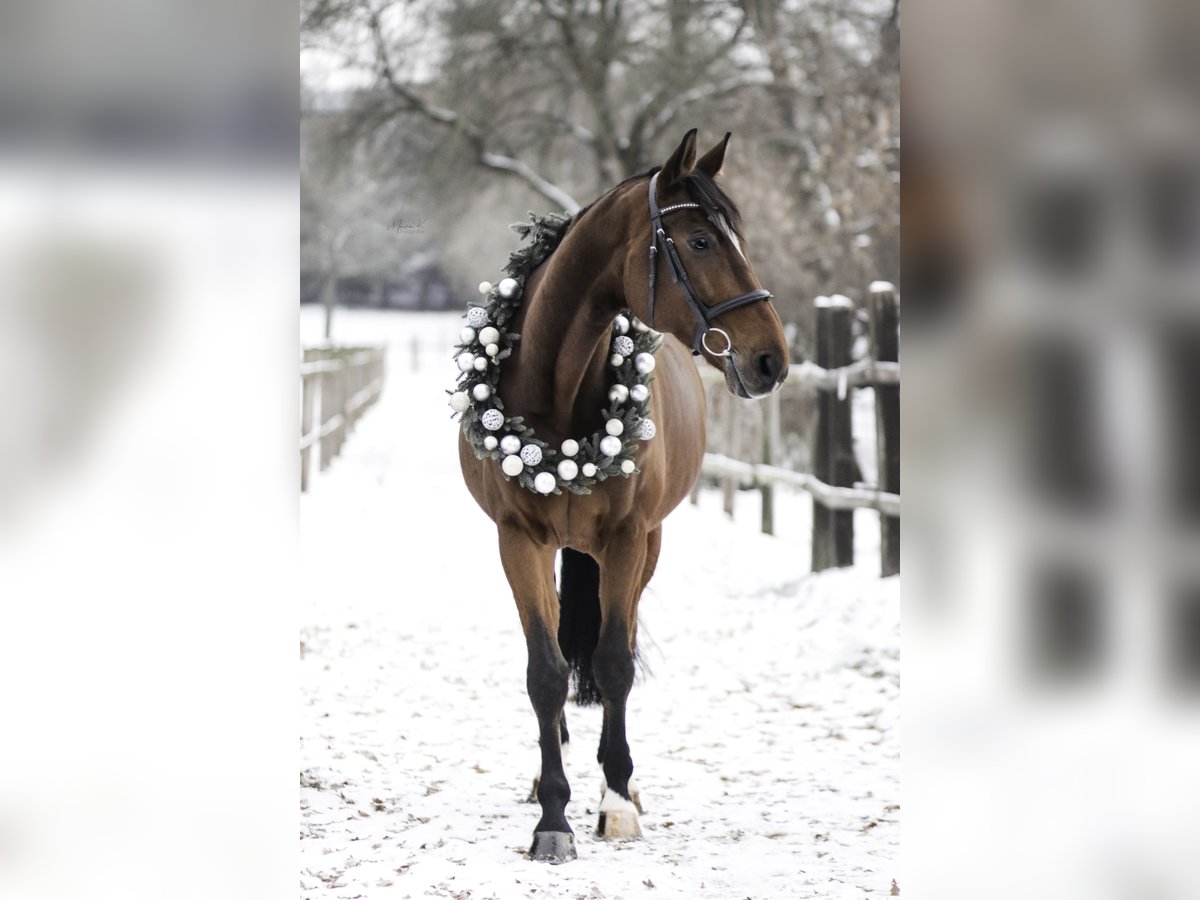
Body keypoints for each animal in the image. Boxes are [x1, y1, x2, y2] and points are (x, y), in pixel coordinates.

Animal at [458, 130, 787, 864]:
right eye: (700, 240)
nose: (772, 360)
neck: (556, 399)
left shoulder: (628, 539)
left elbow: (613, 663)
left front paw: (614, 802)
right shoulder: (517, 540)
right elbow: (546, 672)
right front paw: (552, 816)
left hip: (644, 549)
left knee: (625, 644)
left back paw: (625, 781)